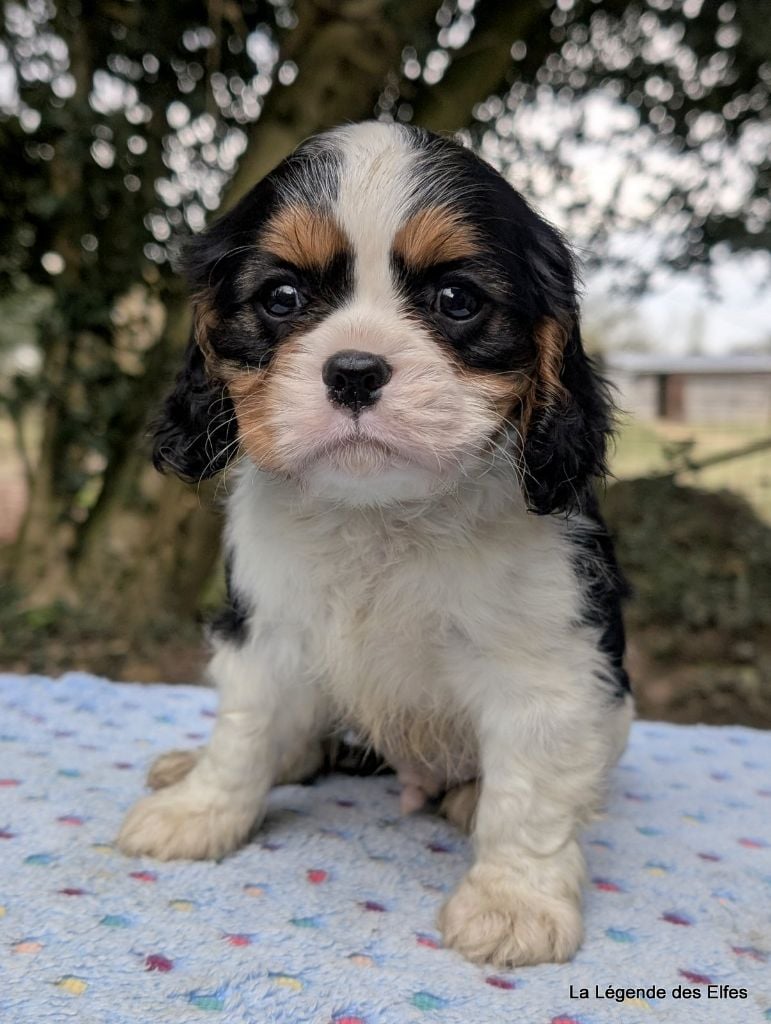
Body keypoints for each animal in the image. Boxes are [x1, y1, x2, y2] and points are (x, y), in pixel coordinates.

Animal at [115, 121, 630, 966]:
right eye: (281, 298)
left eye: (456, 300)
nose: (353, 371)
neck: (381, 514)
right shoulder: (265, 634)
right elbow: (244, 732)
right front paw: (201, 810)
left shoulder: (547, 671)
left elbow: (529, 794)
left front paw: (513, 899)